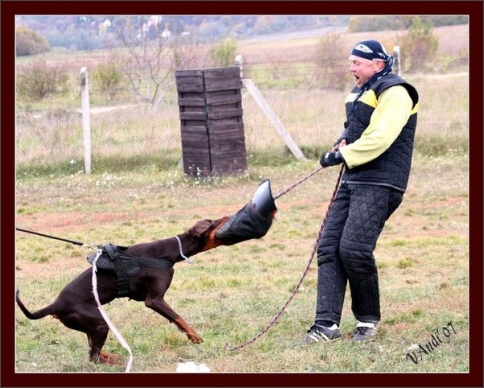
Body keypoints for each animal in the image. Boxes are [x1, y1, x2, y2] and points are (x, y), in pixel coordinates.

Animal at [16, 217, 230, 366]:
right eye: (214, 221)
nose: (229, 215)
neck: (169, 251)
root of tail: (55, 305)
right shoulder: (154, 300)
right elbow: (179, 319)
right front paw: (195, 338)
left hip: (96, 323)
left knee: (92, 348)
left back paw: (113, 356)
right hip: (100, 323)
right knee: (93, 357)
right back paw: (116, 362)